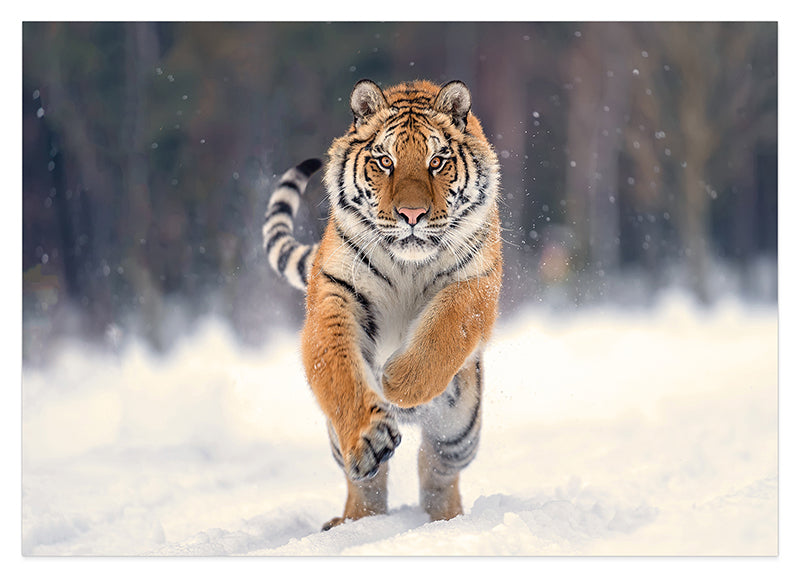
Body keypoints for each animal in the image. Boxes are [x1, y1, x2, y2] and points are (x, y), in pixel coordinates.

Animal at [262, 79, 502, 531]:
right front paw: (369, 433)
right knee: (368, 482)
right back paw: (354, 522)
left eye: (437, 161)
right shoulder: (335, 293)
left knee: (436, 468)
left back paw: (446, 521)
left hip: (460, 430)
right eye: (385, 161)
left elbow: (445, 331)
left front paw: (398, 381)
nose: (412, 214)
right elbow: (338, 370)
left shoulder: (475, 282)